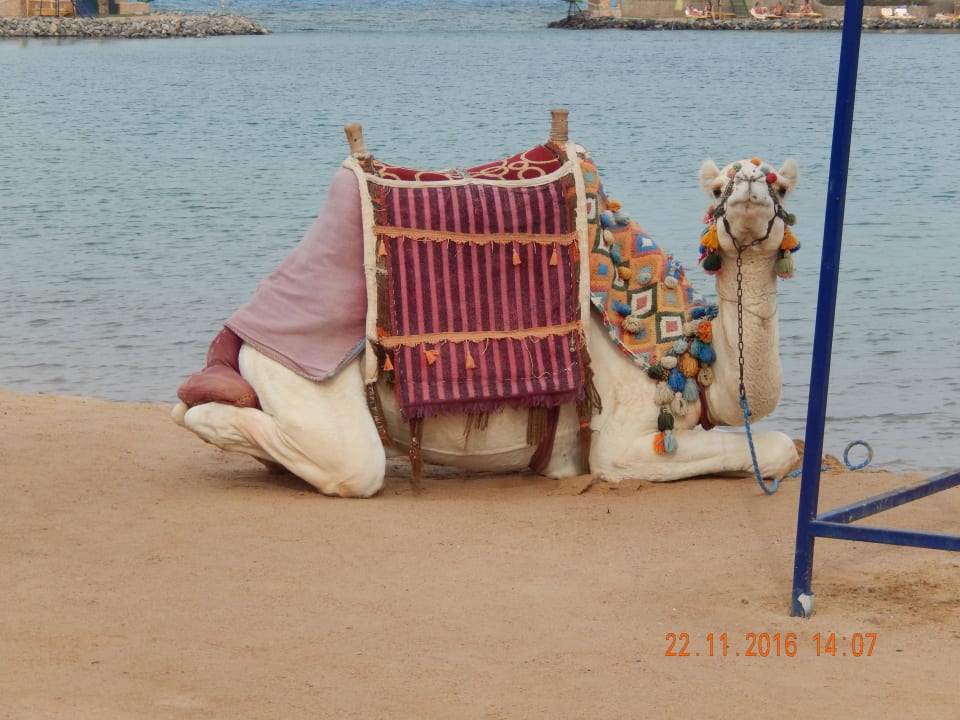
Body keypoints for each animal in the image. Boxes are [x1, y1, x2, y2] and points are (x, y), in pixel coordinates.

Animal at [172, 112, 800, 497]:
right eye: (717, 188)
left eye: (781, 185)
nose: (749, 185)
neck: (684, 357)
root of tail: (240, 335)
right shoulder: (623, 445)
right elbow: (774, 447)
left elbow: (776, 450)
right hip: (301, 382)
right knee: (344, 461)